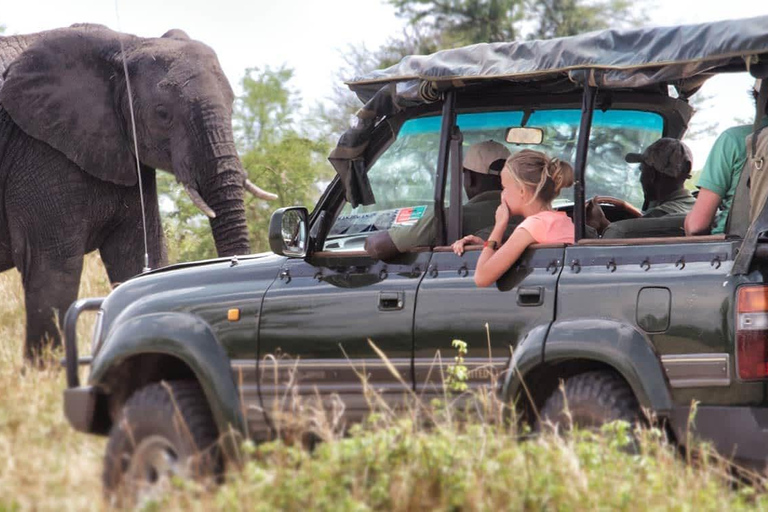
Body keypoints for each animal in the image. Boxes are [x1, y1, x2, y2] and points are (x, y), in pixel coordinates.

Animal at [0, 24, 276, 360]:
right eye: (162, 113)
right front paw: (47, 369)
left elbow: (139, 255)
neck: (128, 46)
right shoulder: (38, 150)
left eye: (233, 104)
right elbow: (52, 268)